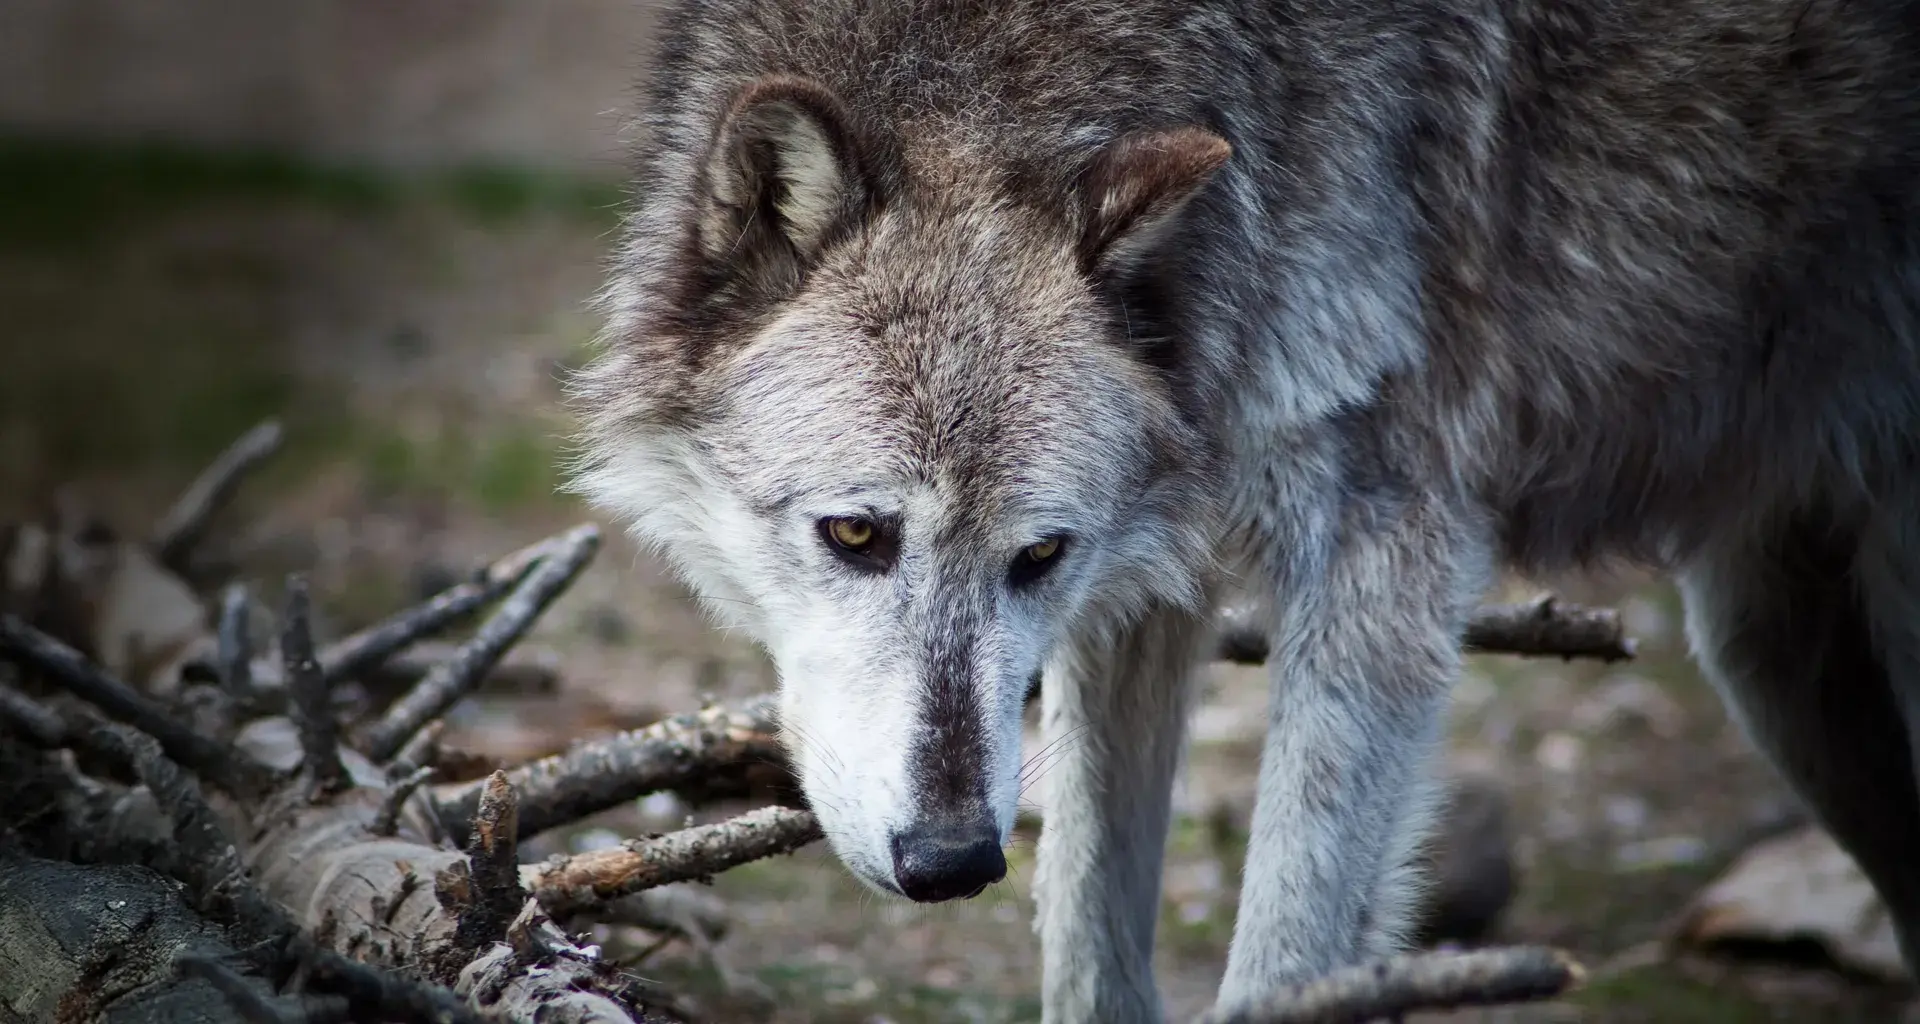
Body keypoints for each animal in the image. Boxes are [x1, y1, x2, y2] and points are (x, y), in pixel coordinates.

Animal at [566, 0, 1920, 1018]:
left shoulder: (1382, 566)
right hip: (1770, 659)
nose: (952, 862)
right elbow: (1089, 949)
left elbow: (1283, 962)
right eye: (856, 533)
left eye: (1038, 554)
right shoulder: (1141, 601)